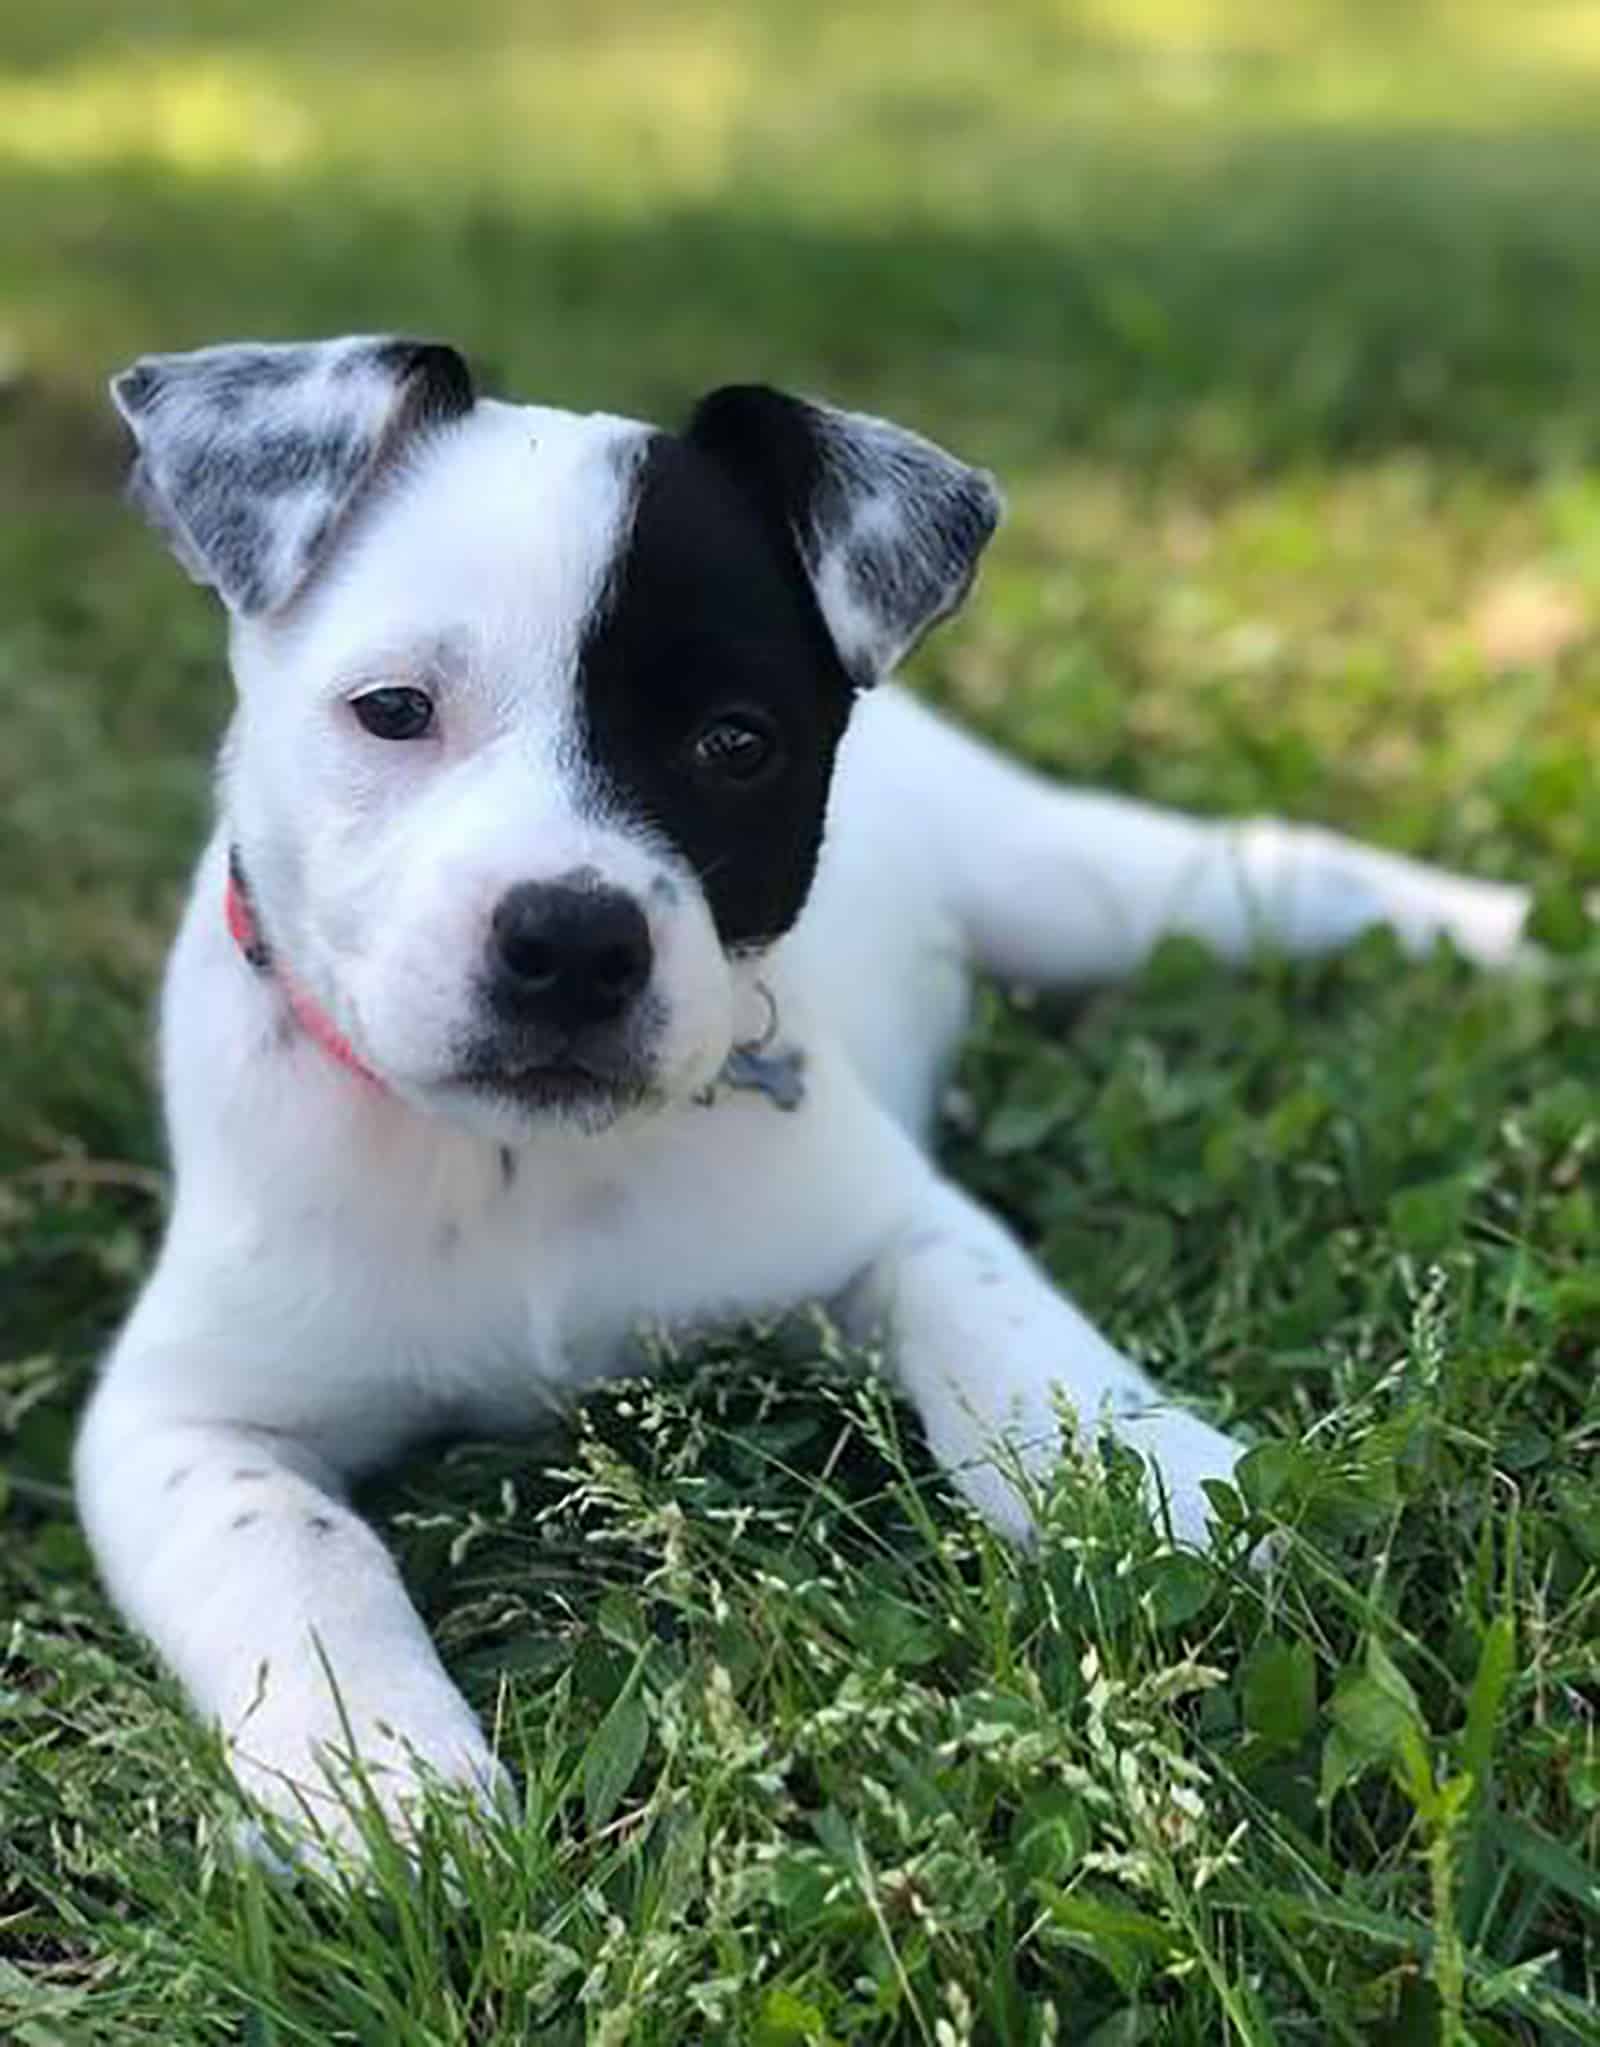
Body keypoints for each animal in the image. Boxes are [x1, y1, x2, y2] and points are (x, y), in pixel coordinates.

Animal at [72, 327, 1530, 1850]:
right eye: (393, 712)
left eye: (736, 744)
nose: (573, 941)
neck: (518, 1164)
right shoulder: (180, 1416)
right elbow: (293, 1553)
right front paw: (383, 1776)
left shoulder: (895, 1223)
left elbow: (1016, 1335)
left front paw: (1167, 1490)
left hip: (1081, 892)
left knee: (1265, 867)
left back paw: (1488, 929)